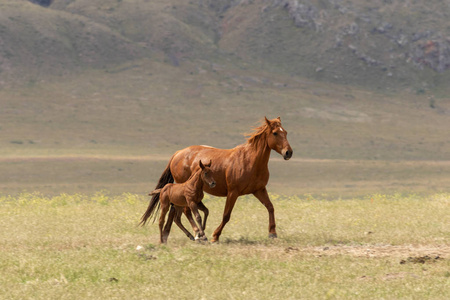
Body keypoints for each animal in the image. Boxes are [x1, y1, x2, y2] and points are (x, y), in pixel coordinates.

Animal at [142, 116, 296, 243]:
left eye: (286, 132)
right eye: (275, 133)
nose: (288, 152)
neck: (250, 160)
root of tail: (177, 154)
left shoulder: (259, 190)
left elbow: (270, 207)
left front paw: (272, 233)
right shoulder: (233, 192)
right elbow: (226, 215)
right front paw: (215, 236)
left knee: (175, 214)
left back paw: (173, 236)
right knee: (185, 212)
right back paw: (197, 234)